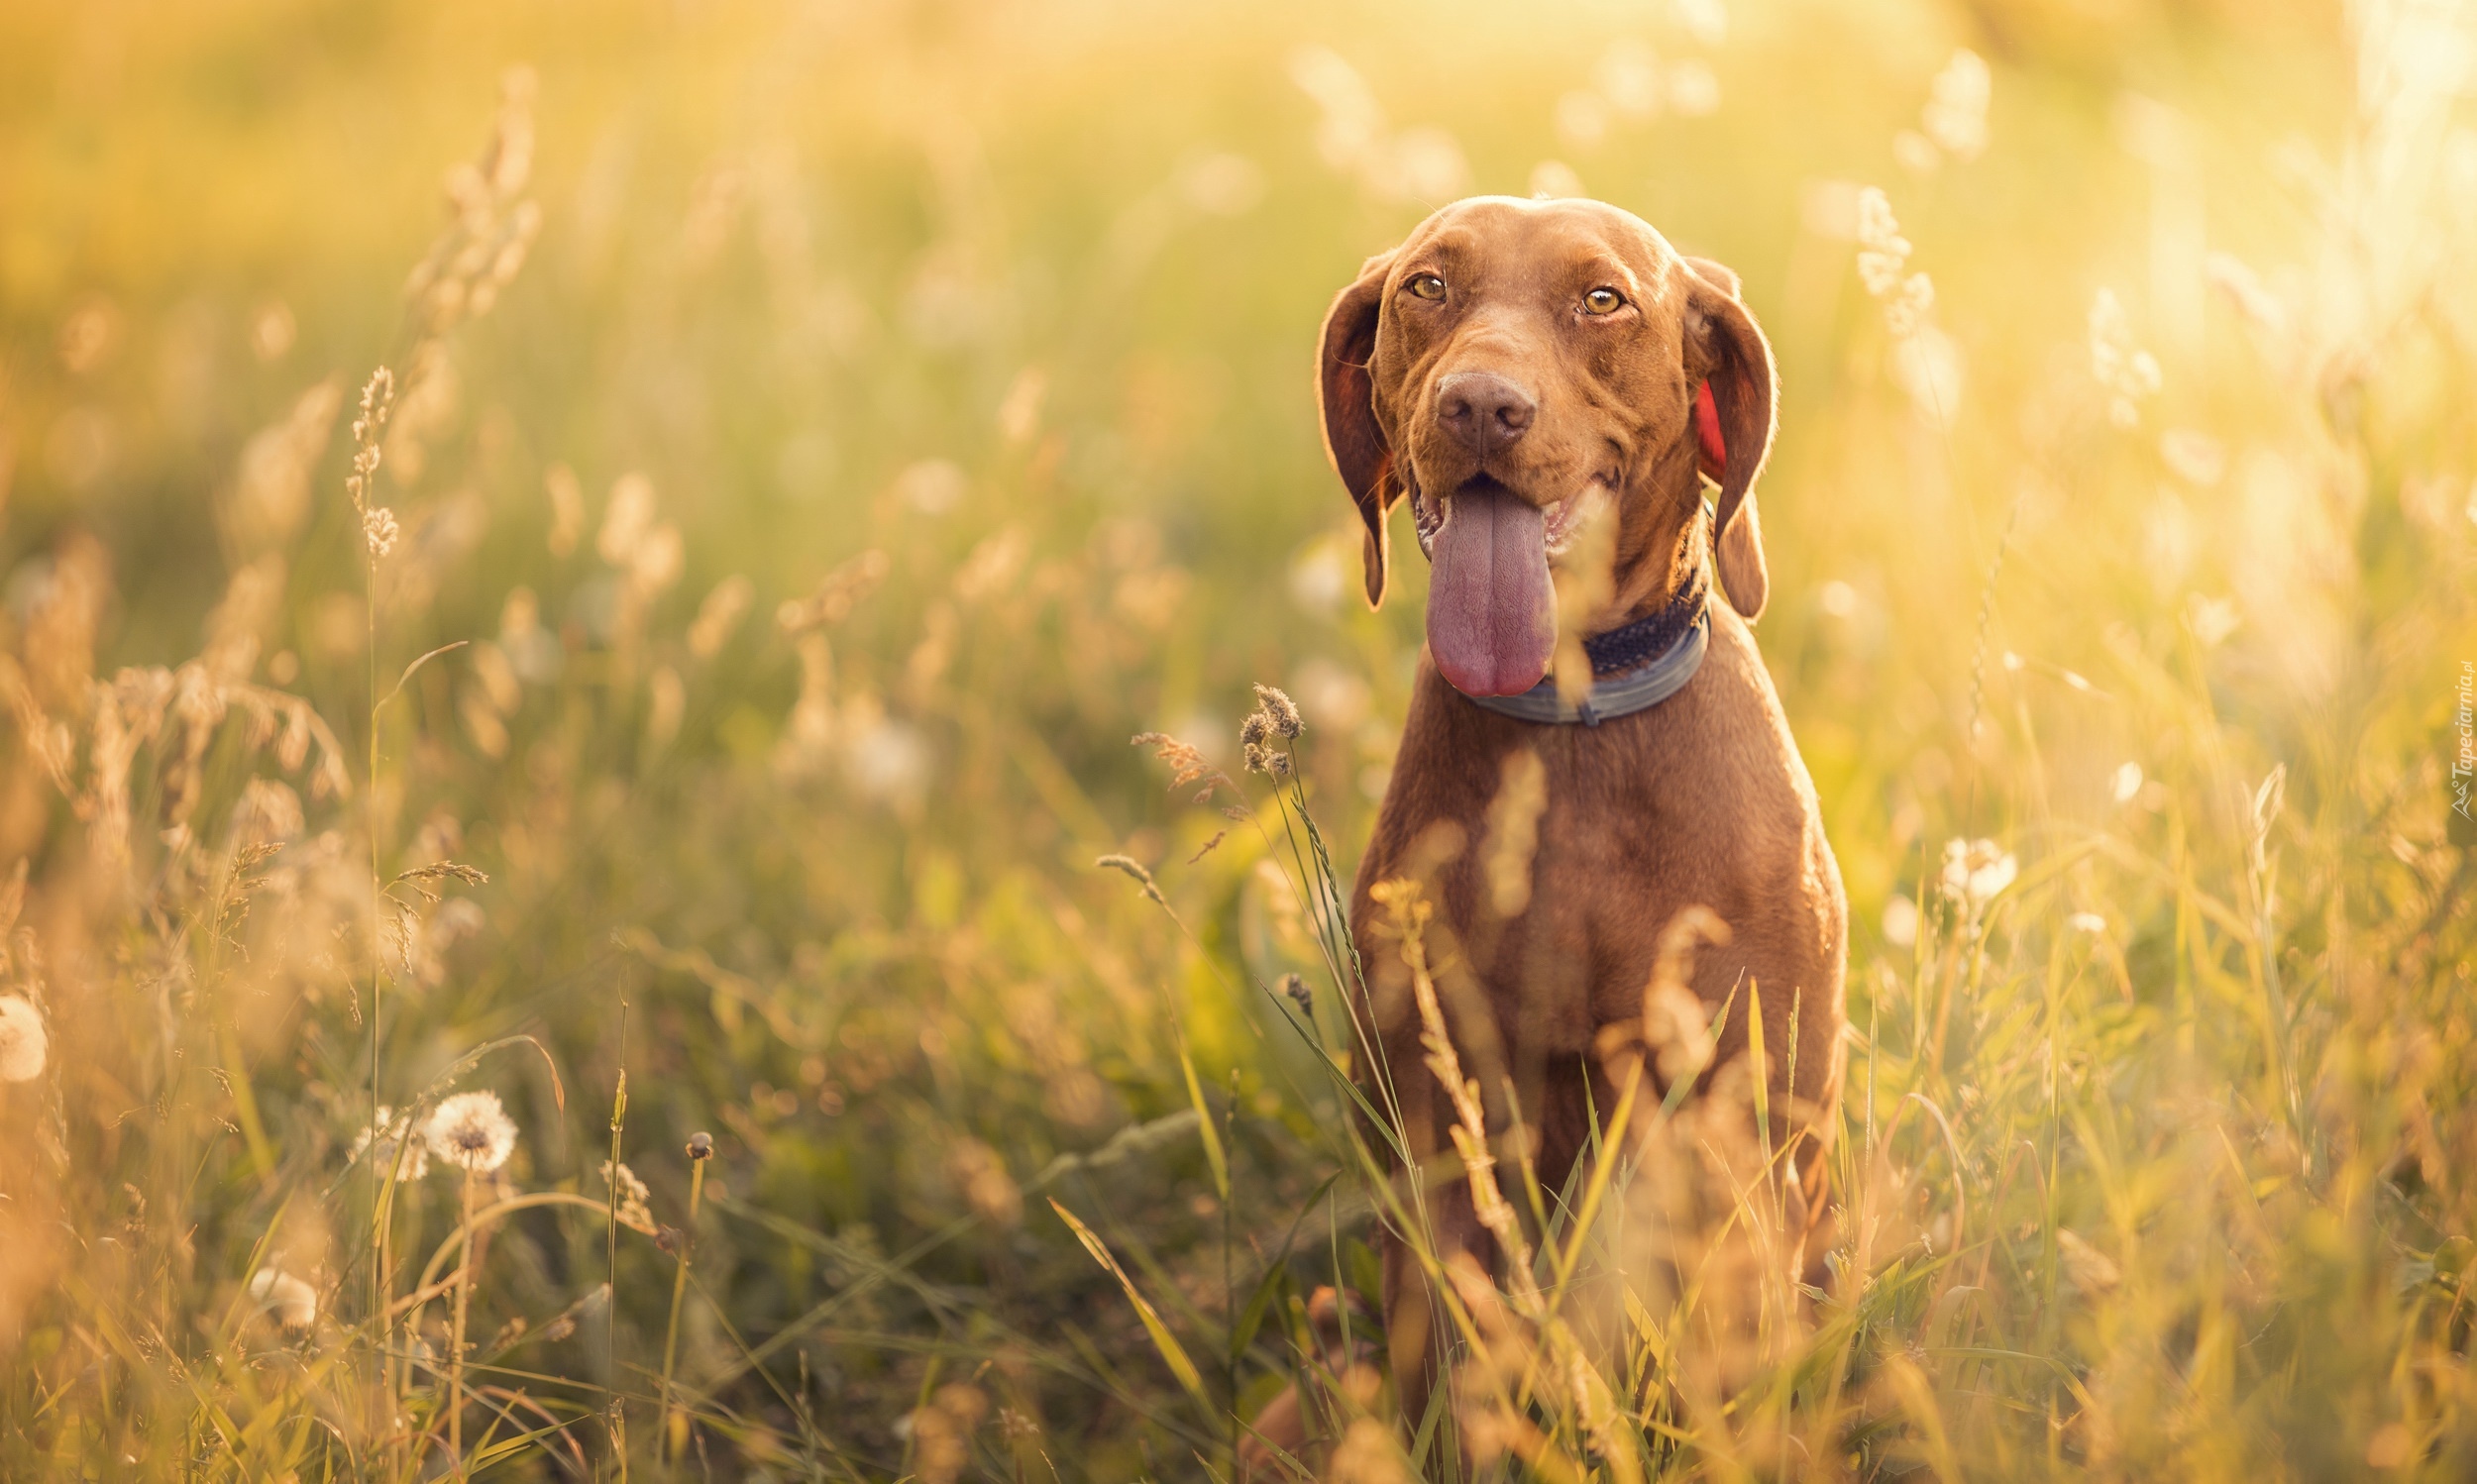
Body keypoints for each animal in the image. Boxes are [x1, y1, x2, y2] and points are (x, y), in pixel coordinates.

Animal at [1238, 200, 1843, 1476]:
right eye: (1425, 288)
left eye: (1602, 300)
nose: (1479, 405)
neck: (1576, 726)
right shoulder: (1447, 1136)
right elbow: (1460, 1382)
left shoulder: (1736, 1136)